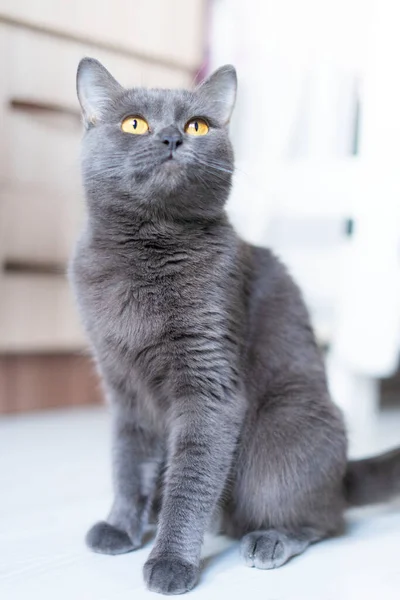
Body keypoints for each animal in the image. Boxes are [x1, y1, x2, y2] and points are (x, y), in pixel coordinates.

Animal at [71, 58, 400, 592]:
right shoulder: (123, 386)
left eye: (198, 126)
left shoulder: (210, 382)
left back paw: (270, 539)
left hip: (279, 433)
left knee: (323, 519)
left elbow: (191, 481)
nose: (171, 138)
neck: (146, 249)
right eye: (134, 124)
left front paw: (171, 563)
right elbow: (128, 461)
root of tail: (342, 474)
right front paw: (120, 527)